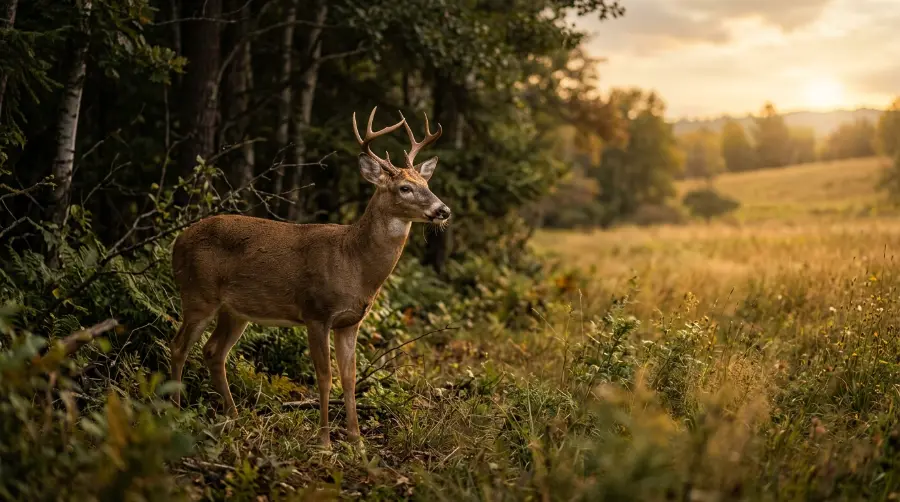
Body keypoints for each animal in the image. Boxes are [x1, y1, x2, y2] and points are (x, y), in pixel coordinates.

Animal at [168, 107, 448, 447]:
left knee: (213, 352)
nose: (443, 210)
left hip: (234, 311)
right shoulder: (316, 312)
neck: (353, 263)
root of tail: (177, 241)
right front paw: (325, 442)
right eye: (404, 188)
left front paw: (357, 441)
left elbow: (349, 378)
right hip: (197, 294)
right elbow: (325, 377)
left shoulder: (350, 321)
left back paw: (234, 418)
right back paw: (175, 412)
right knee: (178, 347)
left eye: (426, 182)